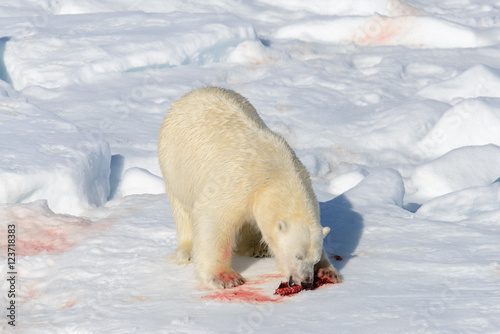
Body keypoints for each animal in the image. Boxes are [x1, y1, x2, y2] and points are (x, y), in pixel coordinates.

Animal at [158, 87, 342, 288]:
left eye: (314, 259)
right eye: (298, 256)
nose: (306, 282)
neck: (276, 177)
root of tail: (193, 93)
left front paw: (328, 271)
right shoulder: (236, 184)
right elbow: (213, 221)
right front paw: (226, 277)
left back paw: (257, 247)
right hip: (175, 164)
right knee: (182, 210)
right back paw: (188, 252)